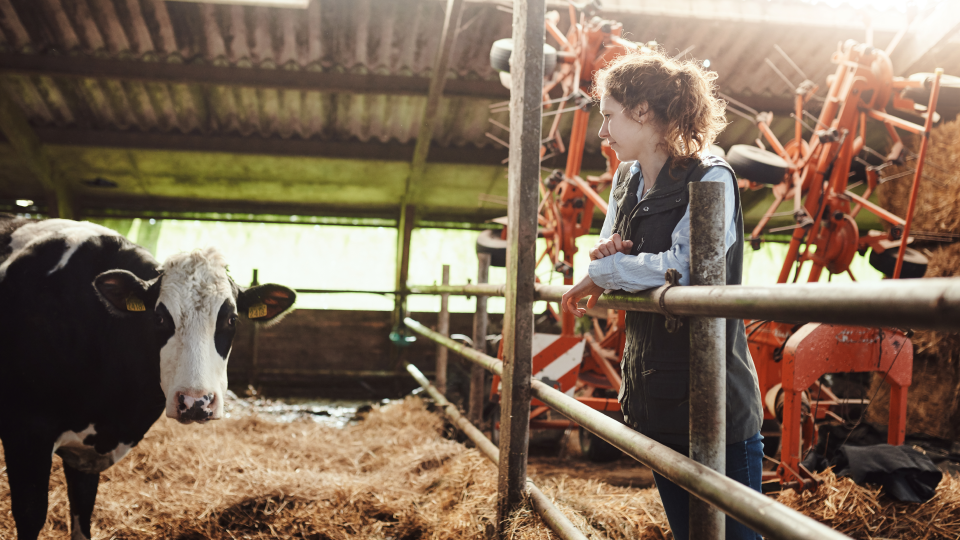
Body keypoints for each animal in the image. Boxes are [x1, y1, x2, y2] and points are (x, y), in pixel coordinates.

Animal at [0, 213, 294, 536]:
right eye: (160, 317)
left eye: (231, 319)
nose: (196, 402)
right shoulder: (26, 433)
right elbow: (31, 514)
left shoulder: (84, 457)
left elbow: (82, 517)